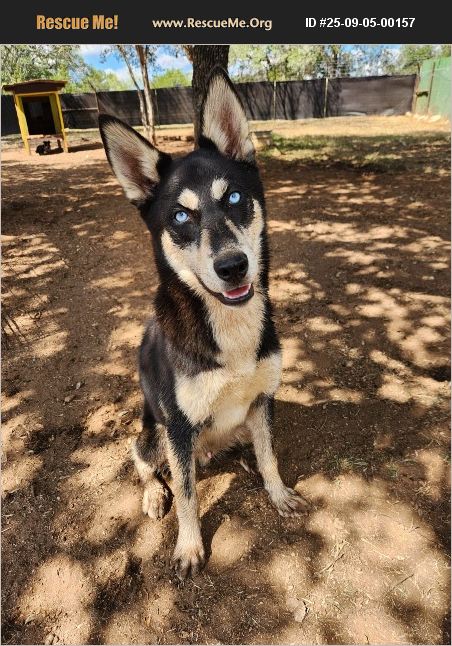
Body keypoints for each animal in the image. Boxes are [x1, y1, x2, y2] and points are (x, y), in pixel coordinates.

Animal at [99, 67, 308, 579]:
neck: (227, 327)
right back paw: (155, 494)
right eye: (180, 215)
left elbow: (270, 456)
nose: (232, 266)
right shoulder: (176, 426)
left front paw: (276, 492)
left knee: (243, 448)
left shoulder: (262, 400)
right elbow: (189, 496)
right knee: (144, 459)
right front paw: (189, 546)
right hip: (153, 433)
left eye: (234, 196)